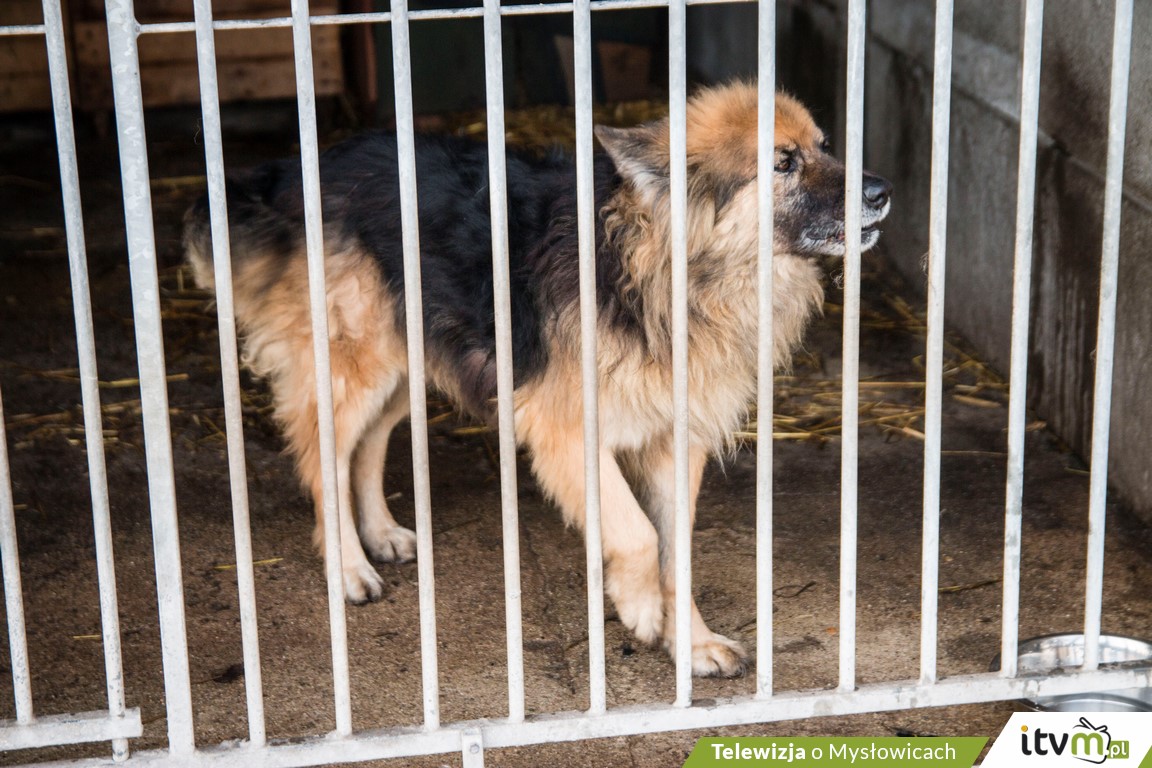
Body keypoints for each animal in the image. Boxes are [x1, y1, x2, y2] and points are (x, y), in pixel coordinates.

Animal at [184, 81, 891, 677]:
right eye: (783, 163)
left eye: (826, 145)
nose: (882, 191)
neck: (654, 274)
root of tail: (304, 167)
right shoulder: (568, 433)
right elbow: (637, 537)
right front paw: (641, 610)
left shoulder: (674, 443)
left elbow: (676, 552)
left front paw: (690, 643)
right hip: (359, 366)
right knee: (322, 456)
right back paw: (349, 566)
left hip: (412, 366)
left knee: (367, 446)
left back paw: (380, 534)